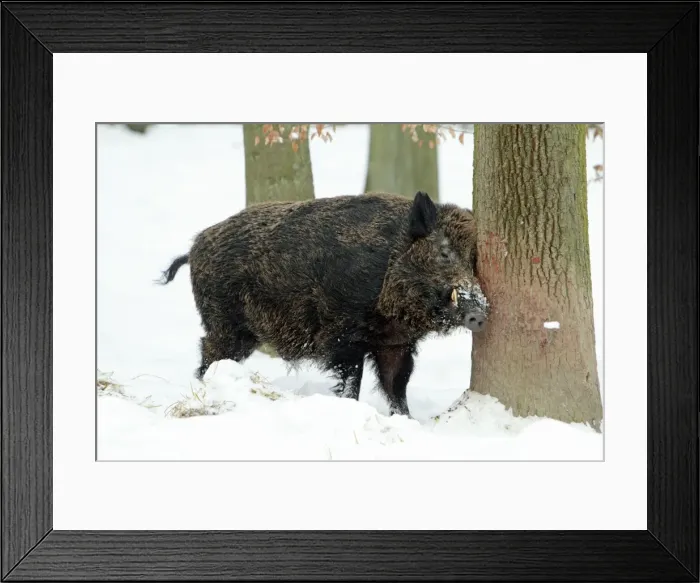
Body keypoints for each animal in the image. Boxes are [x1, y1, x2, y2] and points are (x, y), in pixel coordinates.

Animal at [159, 191, 489, 418]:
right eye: (444, 253)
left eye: (475, 260)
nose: (480, 313)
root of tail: (194, 248)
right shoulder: (342, 333)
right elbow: (352, 380)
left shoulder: (395, 344)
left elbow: (396, 385)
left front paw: (406, 420)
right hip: (225, 324)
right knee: (209, 352)